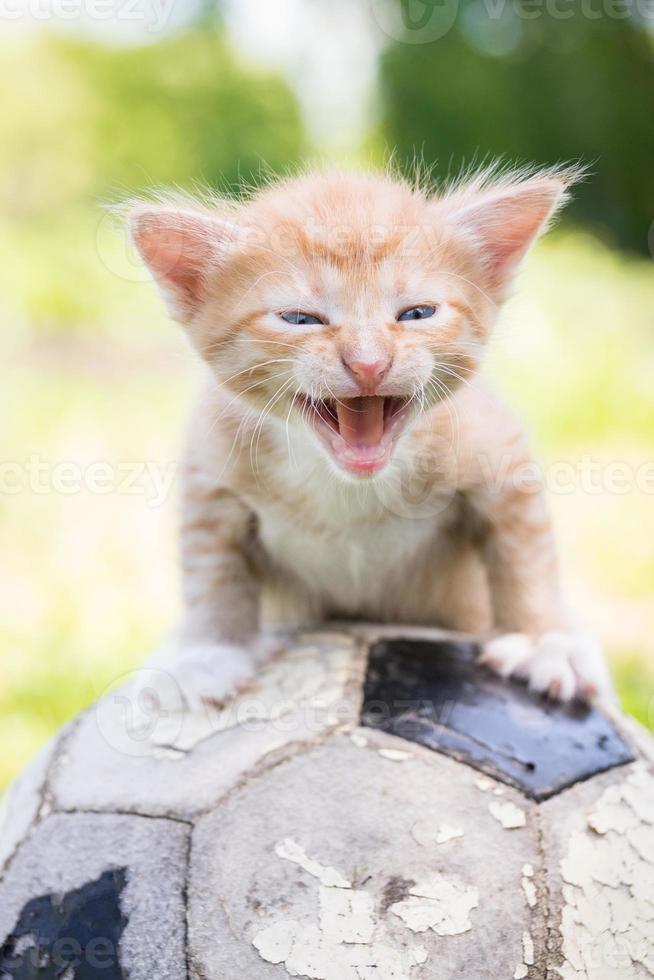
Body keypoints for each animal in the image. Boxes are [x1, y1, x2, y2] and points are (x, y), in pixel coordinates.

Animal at [128, 165, 616, 708]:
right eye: (301, 318)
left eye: (416, 314)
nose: (368, 363)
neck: (347, 487)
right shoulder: (211, 471)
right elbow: (211, 571)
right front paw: (209, 650)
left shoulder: (500, 454)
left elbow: (527, 557)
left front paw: (544, 640)